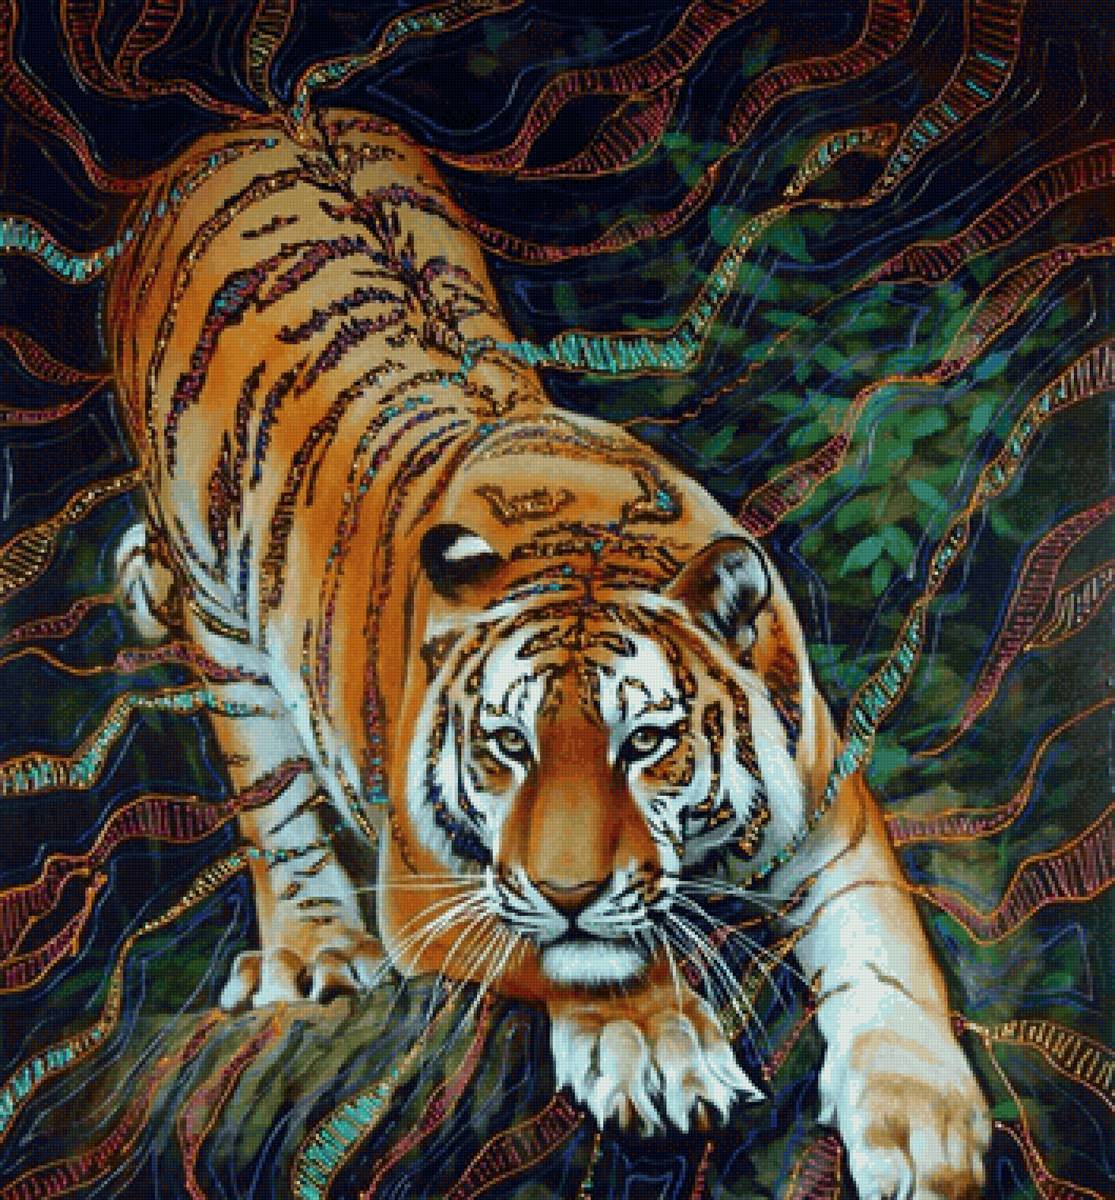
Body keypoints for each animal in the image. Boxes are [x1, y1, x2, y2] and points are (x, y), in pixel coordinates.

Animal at [106, 110, 990, 1199]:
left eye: (645, 741)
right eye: (507, 745)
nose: (570, 890)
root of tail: (265, 118)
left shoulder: (830, 812)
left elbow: (885, 951)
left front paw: (922, 1125)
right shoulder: (431, 888)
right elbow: (587, 957)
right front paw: (651, 1045)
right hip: (221, 620)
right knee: (269, 797)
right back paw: (315, 952)